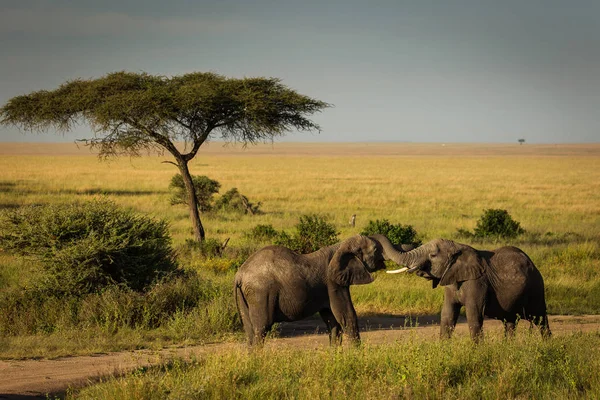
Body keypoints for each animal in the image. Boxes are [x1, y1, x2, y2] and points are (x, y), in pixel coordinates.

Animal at [232, 234, 406, 346]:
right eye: (376, 249)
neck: (341, 246)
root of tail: (239, 275)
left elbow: (332, 320)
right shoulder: (333, 283)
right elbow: (346, 314)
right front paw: (357, 356)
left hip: (246, 296)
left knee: (249, 330)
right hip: (261, 293)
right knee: (261, 328)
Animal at [386, 239, 552, 342]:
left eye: (433, 255)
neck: (457, 248)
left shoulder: (477, 283)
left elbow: (474, 315)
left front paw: (477, 352)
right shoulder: (451, 280)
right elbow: (448, 315)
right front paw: (443, 351)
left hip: (536, 288)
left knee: (540, 319)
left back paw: (547, 346)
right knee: (510, 322)